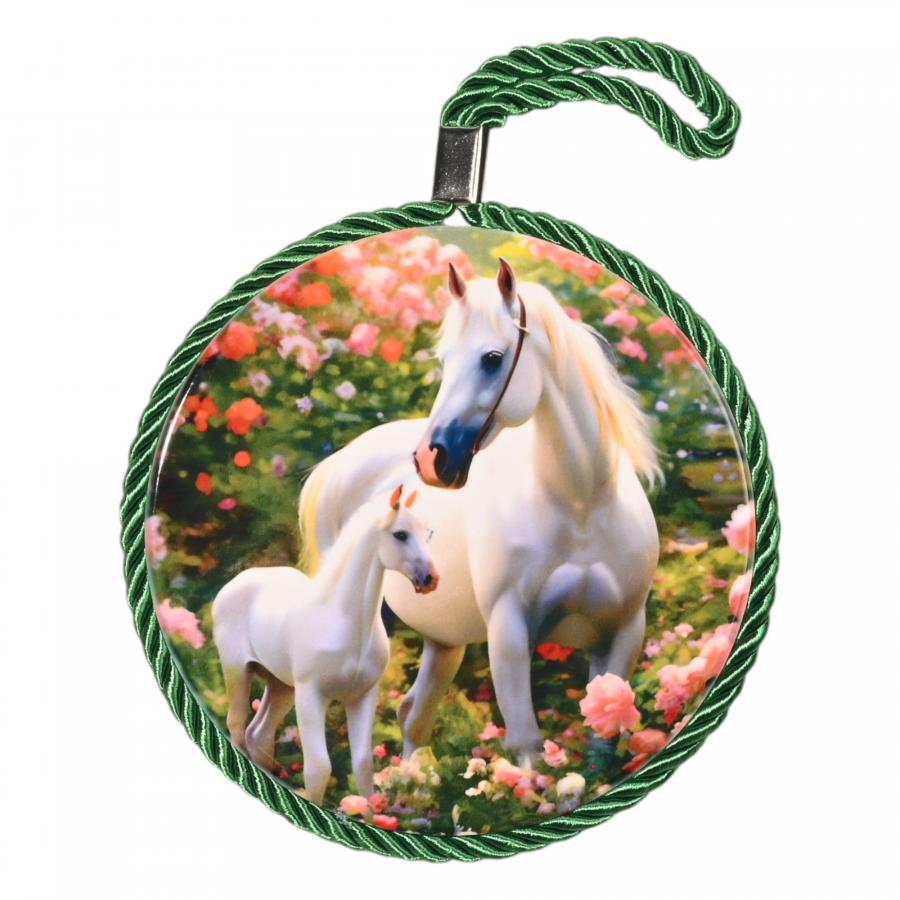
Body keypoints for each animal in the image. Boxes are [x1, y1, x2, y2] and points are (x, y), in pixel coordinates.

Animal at [212, 485, 438, 804]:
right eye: (400, 534)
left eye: (428, 533)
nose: (430, 579)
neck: (346, 623)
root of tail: (233, 584)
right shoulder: (312, 695)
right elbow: (318, 768)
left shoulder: (363, 696)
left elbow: (363, 764)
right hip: (238, 671)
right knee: (237, 725)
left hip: (281, 686)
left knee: (259, 735)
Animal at [298, 259, 660, 762]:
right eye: (444, 360)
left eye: (491, 358)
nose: (430, 460)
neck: (581, 505)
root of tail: (336, 465)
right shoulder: (508, 634)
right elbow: (527, 744)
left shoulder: (624, 633)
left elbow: (600, 741)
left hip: (443, 640)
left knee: (413, 716)